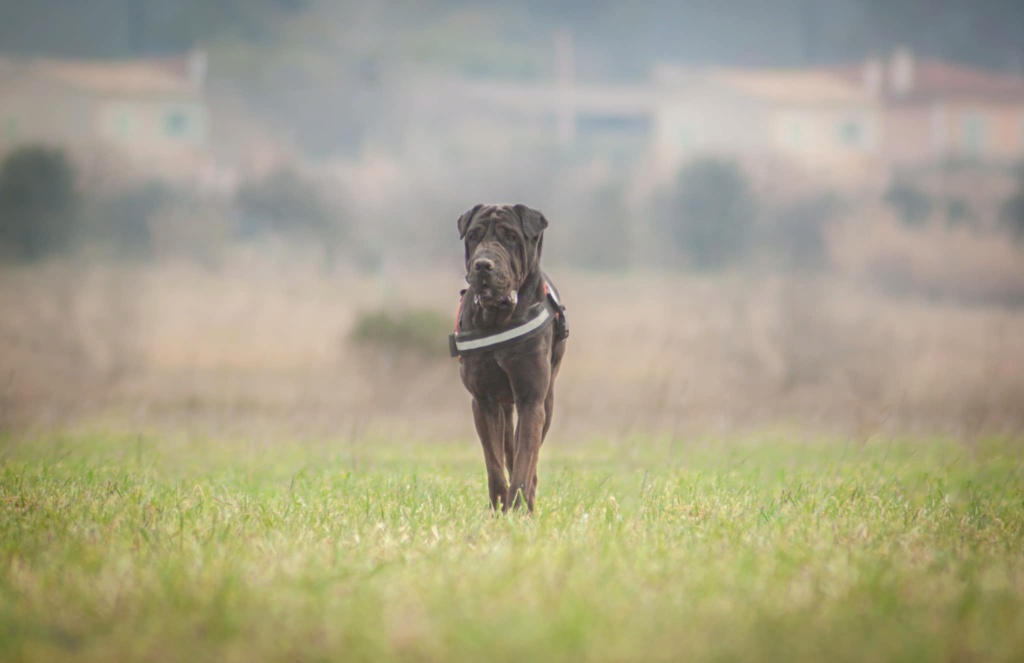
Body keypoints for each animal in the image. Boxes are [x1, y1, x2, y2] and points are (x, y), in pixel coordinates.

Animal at [450, 201, 569, 514]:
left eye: (511, 237)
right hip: (504, 407)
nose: (483, 265)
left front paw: (517, 508)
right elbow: (493, 462)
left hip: (547, 400)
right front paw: (499, 506)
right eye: (474, 236)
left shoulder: (532, 399)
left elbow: (526, 459)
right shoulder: (483, 401)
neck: (498, 317)